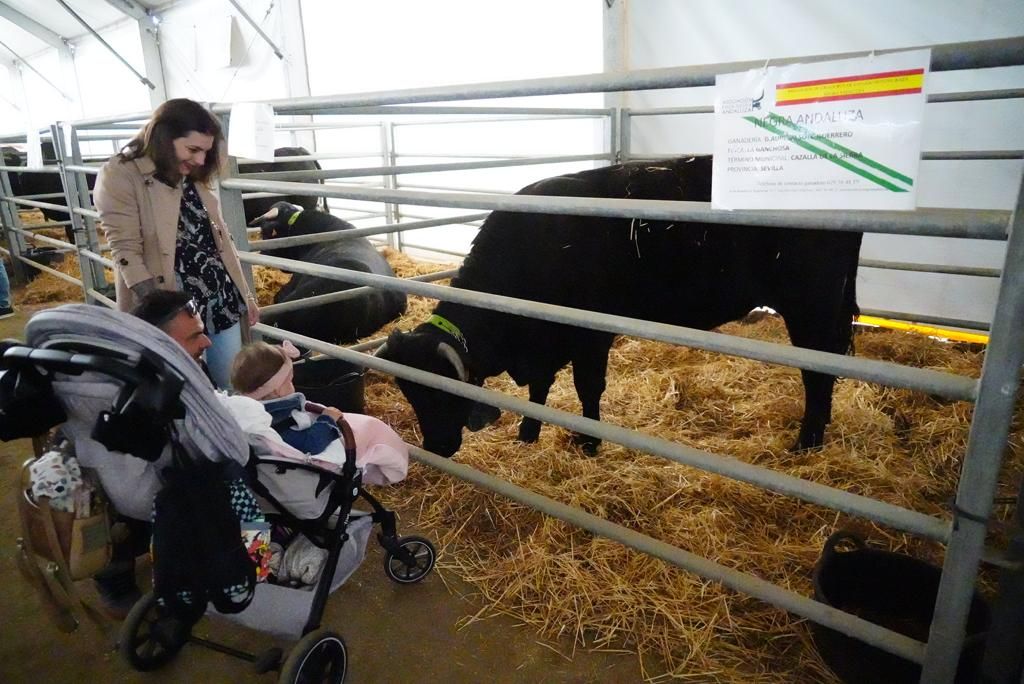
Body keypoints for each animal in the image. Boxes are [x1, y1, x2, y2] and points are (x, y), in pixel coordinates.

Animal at [372, 156, 860, 458]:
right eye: (410, 394)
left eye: (440, 393)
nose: (436, 447)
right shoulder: (545, 342)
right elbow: (540, 388)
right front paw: (529, 433)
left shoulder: (590, 336)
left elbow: (587, 388)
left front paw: (588, 443)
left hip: (813, 306)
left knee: (818, 375)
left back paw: (808, 442)